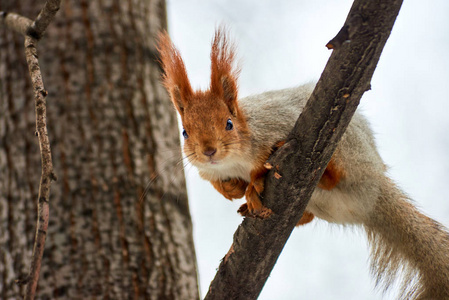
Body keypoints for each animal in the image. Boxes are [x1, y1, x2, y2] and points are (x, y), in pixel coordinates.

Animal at [157, 28, 448, 300]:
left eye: (228, 124)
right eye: (185, 132)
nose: (209, 151)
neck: (231, 161)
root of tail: (374, 190)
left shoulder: (275, 124)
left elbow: (261, 162)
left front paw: (252, 183)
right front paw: (232, 189)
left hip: (350, 152)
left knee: (335, 176)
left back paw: (322, 174)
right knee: (308, 216)